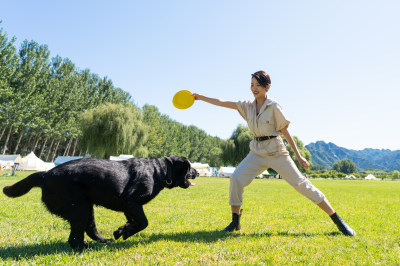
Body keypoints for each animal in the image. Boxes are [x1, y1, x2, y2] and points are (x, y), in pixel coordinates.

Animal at [2, 155, 197, 250]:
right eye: (190, 167)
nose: (197, 172)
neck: (161, 171)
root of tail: (45, 175)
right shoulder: (132, 202)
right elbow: (143, 222)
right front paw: (125, 232)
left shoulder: (129, 207)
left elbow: (134, 221)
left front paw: (122, 230)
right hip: (79, 209)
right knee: (75, 237)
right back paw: (84, 249)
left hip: (86, 208)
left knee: (89, 230)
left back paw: (103, 241)